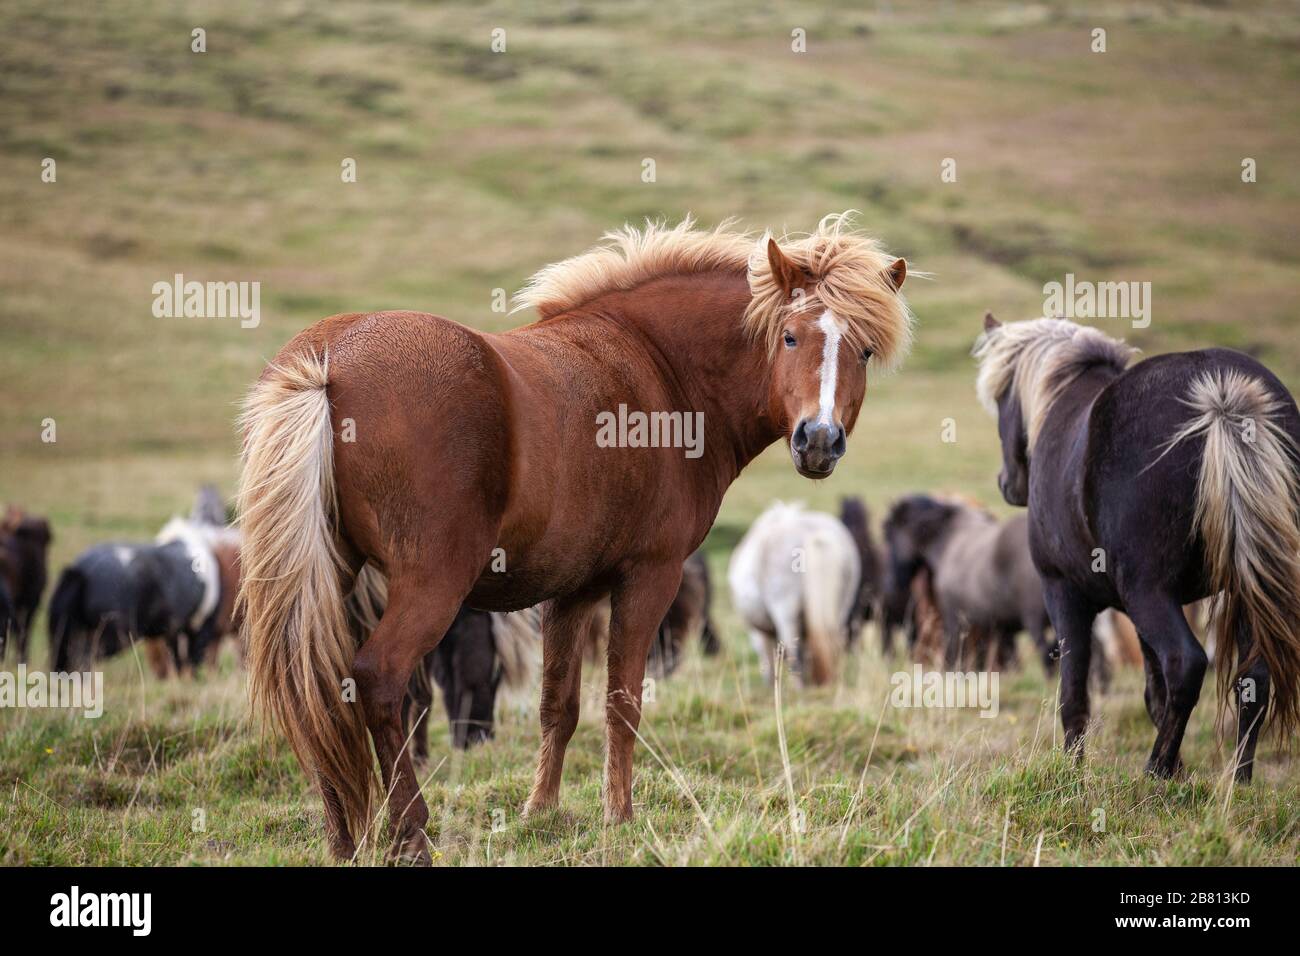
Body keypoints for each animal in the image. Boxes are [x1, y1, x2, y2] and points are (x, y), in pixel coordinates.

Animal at [728, 501, 862, 686]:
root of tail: (811, 533)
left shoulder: (760, 631)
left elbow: (768, 654)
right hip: (841, 607)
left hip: (785, 613)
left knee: (793, 652)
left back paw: (797, 686)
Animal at [882, 495, 1056, 671]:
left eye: (888, 535)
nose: (890, 584)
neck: (948, 539)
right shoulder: (993, 627)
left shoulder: (954, 619)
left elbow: (954, 653)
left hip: (1034, 623)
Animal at [974, 314, 1300, 781]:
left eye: (1002, 398)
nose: (1007, 483)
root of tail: (1220, 397)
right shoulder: (1136, 609)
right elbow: (1153, 693)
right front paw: (1180, 767)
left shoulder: (1064, 592)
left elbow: (1074, 693)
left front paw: (1073, 773)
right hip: (1240, 587)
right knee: (1253, 676)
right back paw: (1236, 780)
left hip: (1150, 591)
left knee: (1186, 663)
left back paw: (1155, 771)